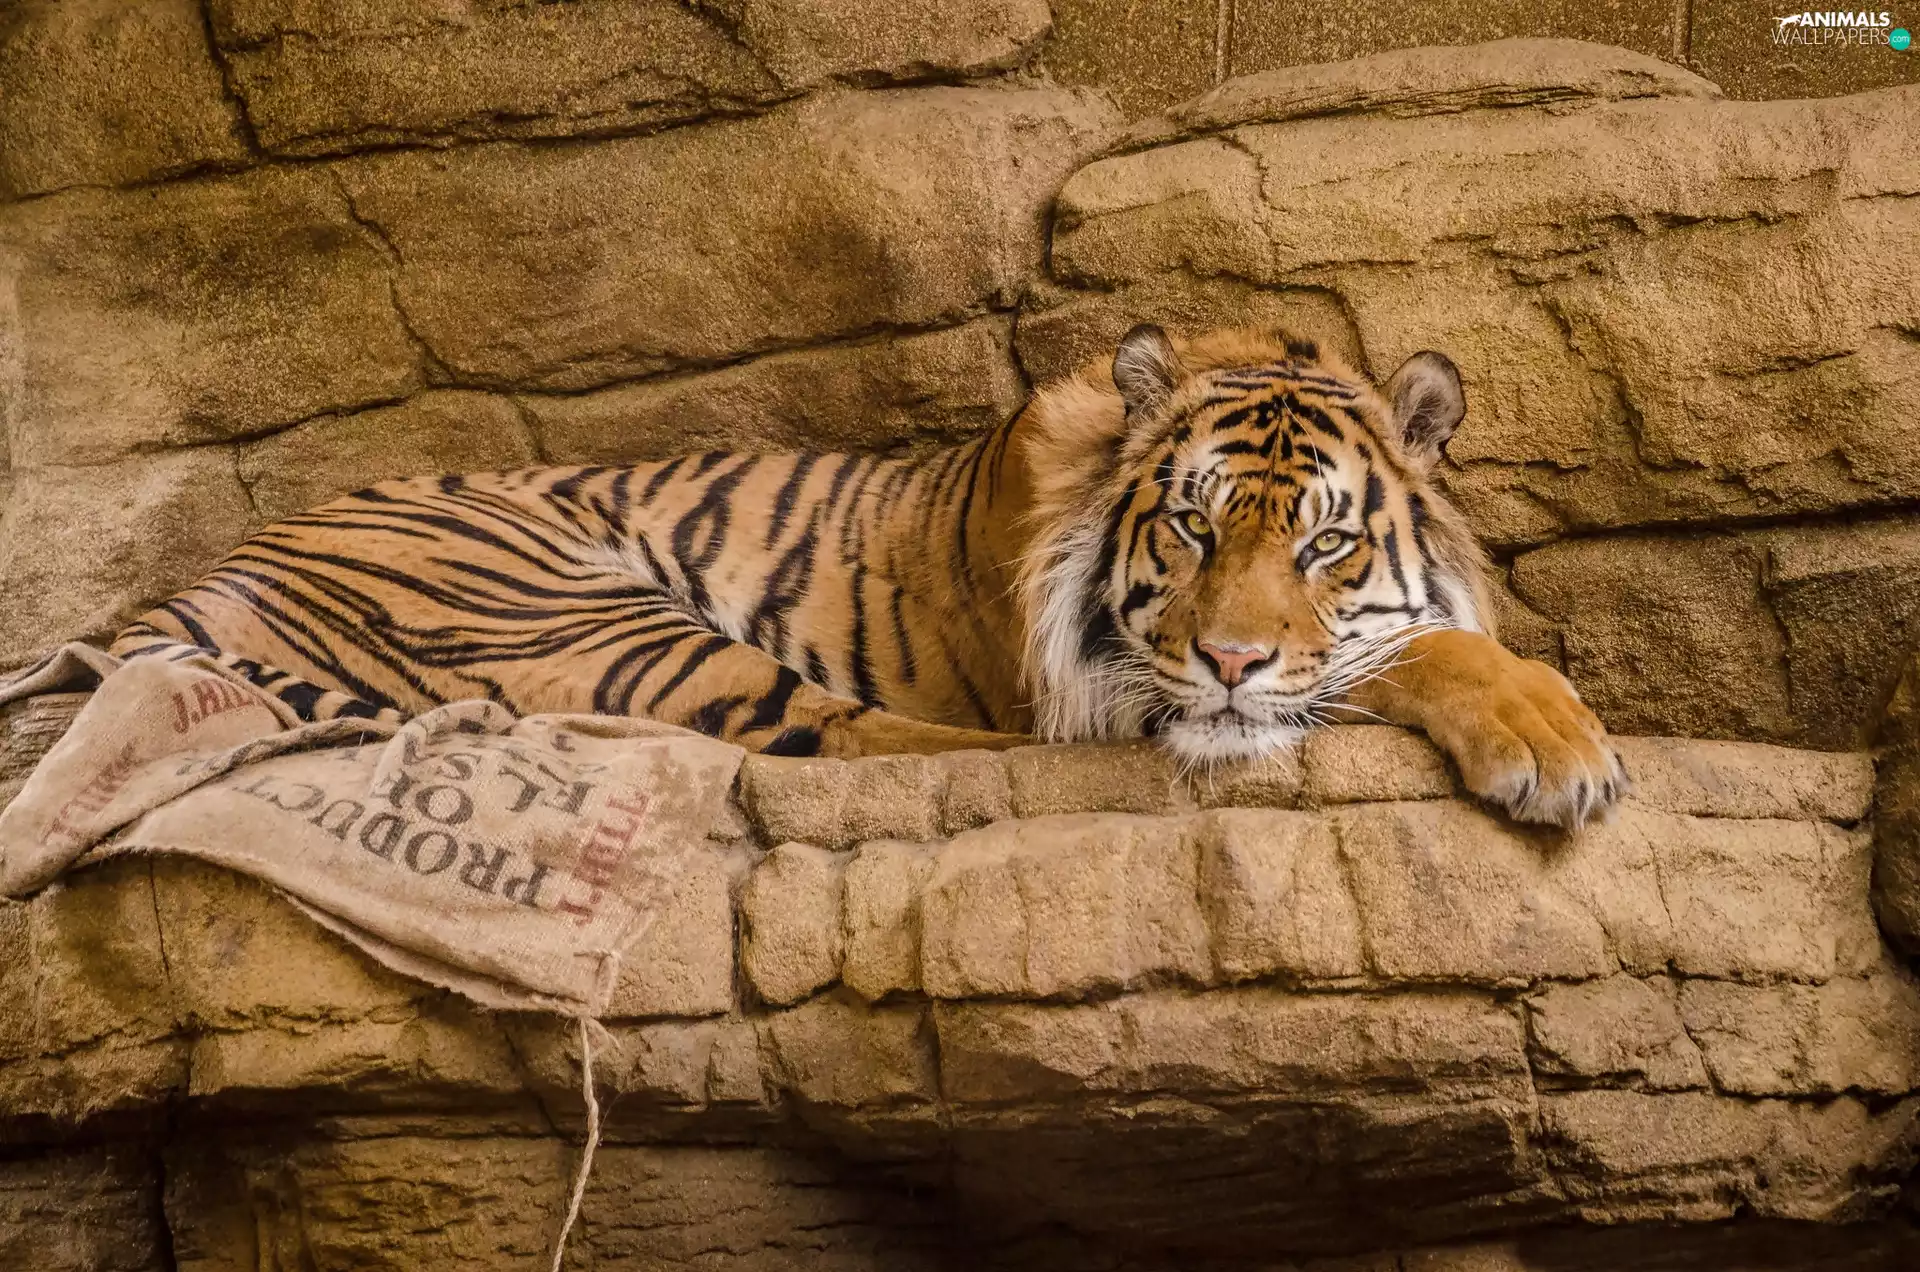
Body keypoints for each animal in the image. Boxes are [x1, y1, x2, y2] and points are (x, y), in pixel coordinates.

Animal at [111, 324, 1626, 827]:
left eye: (1324, 543)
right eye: (1192, 531)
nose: (1233, 658)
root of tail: (191, 579)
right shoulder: (1121, 680)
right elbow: (1408, 651)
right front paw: (1557, 744)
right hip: (579, 609)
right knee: (847, 742)